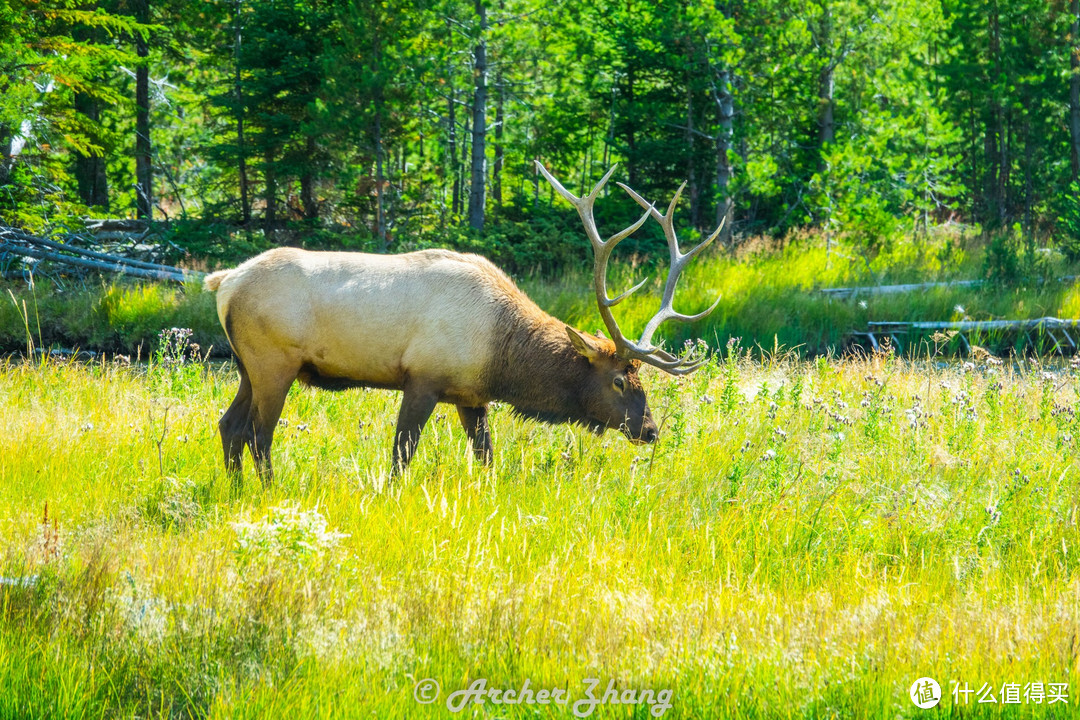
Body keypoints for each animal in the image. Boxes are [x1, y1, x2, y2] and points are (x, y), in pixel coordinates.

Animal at [205, 162, 721, 479]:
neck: (502, 357)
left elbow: (487, 459)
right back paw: (268, 491)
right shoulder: (422, 378)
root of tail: (224, 281)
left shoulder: (472, 397)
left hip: (246, 367)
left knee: (230, 426)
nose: (650, 430)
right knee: (259, 434)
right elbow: (401, 457)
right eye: (618, 380)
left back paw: (237, 491)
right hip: (274, 363)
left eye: (640, 379)